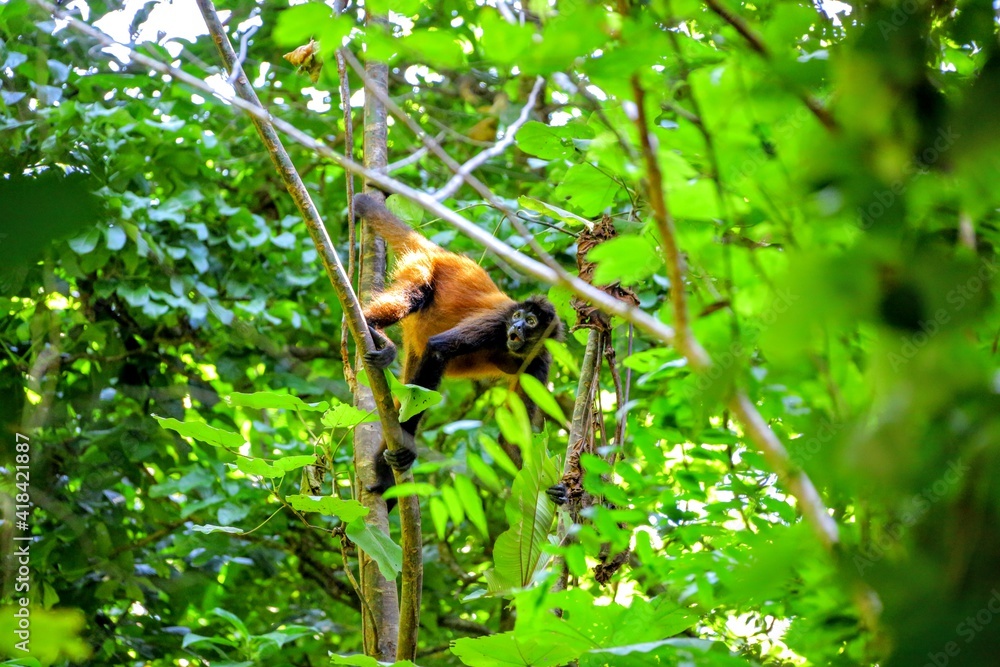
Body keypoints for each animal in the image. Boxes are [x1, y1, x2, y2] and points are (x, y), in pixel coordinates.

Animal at [356, 193, 564, 500]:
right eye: (517, 316)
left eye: (531, 321)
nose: (516, 328)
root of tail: (443, 253)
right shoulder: (495, 323)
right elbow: (439, 349)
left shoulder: (539, 361)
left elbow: (510, 440)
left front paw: (555, 490)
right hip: (422, 267)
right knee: (416, 293)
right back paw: (372, 327)